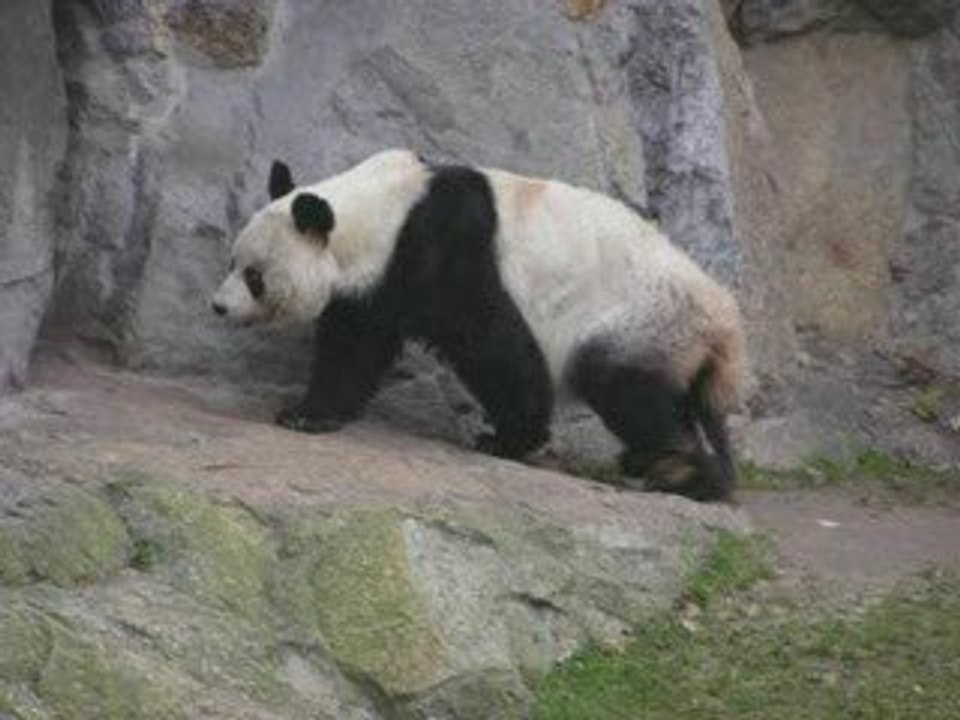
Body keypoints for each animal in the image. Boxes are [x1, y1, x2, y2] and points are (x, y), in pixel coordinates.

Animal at [211, 149, 745, 502]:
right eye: (232, 261)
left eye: (255, 277)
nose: (218, 307)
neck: (382, 208)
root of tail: (724, 325)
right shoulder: (375, 282)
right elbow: (355, 346)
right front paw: (310, 413)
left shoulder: (444, 245)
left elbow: (491, 342)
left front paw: (511, 440)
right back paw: (669, 467)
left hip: (641, 318)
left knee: (619, 383)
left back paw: (677, 470)